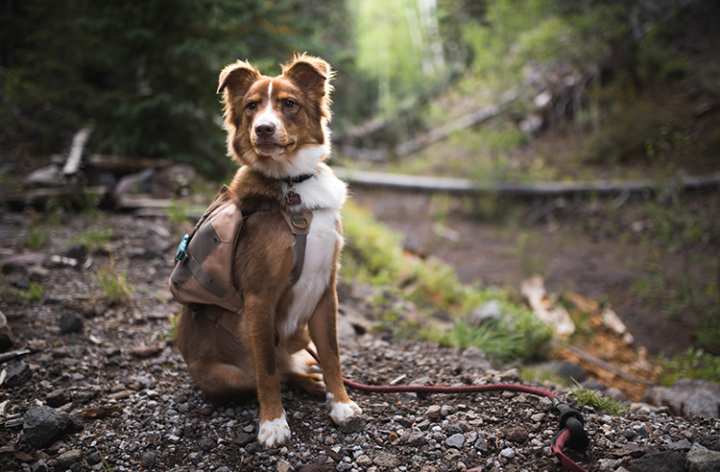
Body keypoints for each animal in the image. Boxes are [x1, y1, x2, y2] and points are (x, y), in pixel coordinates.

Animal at [174, 53, 362, 448]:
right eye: (251, 106)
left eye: (289, 104)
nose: (263, 129)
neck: (292, 185)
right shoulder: (259, 299)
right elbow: (267, 369)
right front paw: (273, 423)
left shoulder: (326, 289)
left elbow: (332, 354)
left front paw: (340, 403)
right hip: (225, 376)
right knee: (272, 373)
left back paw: (315, 382)